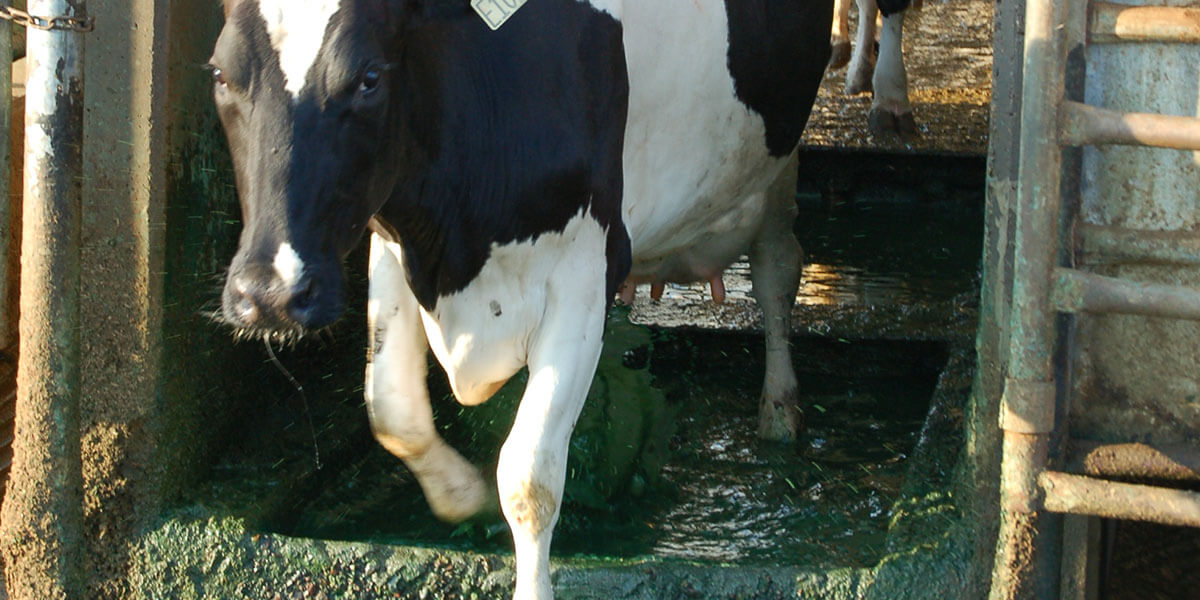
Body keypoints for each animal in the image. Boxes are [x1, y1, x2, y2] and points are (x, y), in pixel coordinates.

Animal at [213, 2, 835, 597]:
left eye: (368, 77)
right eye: (220, 73)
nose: (269, 293)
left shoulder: (583, 276)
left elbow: (528, 477)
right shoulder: (393, 236)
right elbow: (393, 413)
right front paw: (464, 495)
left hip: (780, 157)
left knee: (777, 271)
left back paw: (780, 412)